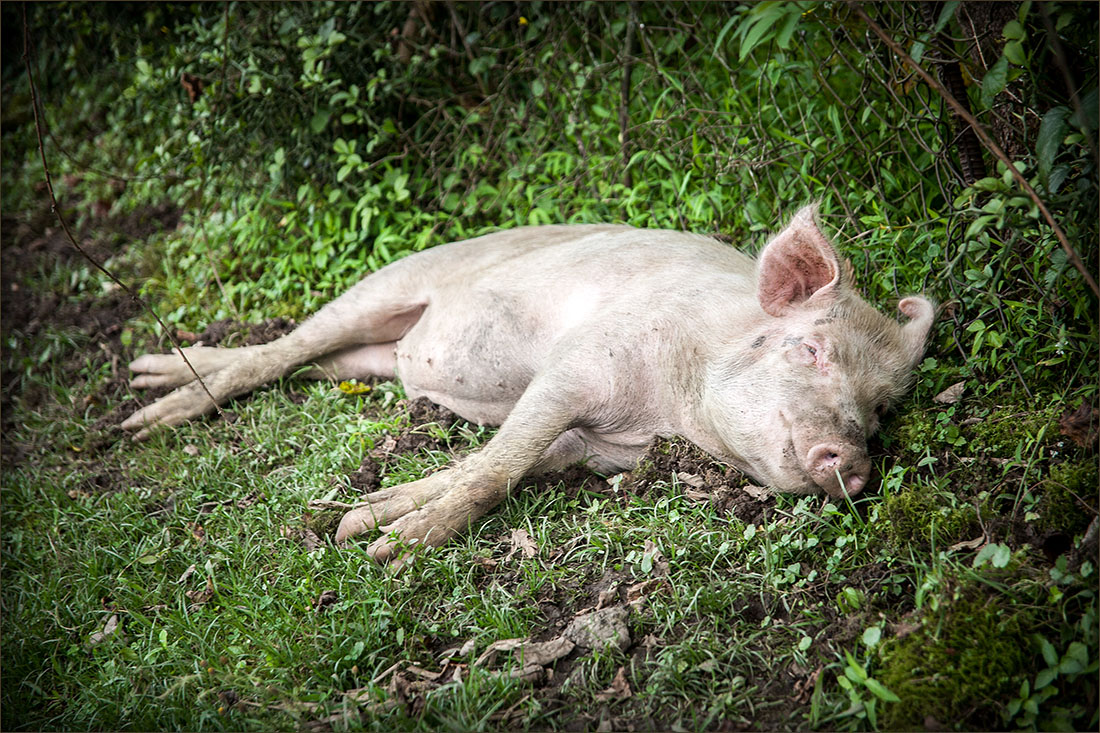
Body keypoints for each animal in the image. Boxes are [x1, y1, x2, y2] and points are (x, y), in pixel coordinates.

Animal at [126, 206, 937, 563]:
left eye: (880, 409)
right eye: (810, 349)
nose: (853, 462)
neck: (672, 414)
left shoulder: (595, 449)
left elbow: (489, 463)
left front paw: (361, 525)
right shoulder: (578, 368)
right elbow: (497, 467)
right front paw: (393, 549)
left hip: (370, 358)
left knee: (306, 361)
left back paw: (146, 382)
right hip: (388, 283)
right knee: (282, 350)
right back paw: (143, 417)